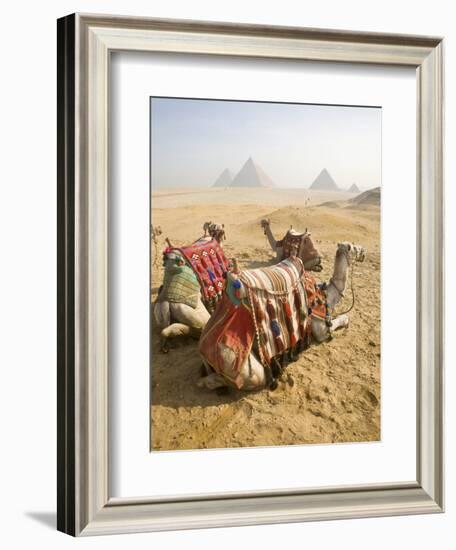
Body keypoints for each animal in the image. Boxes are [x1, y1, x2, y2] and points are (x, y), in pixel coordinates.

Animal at [198, 242, 366, 392]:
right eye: (353, 247)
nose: (363, 251)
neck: (325, 297)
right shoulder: (320, 329)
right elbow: (340, 320)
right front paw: (345, 321)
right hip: (243, 367)